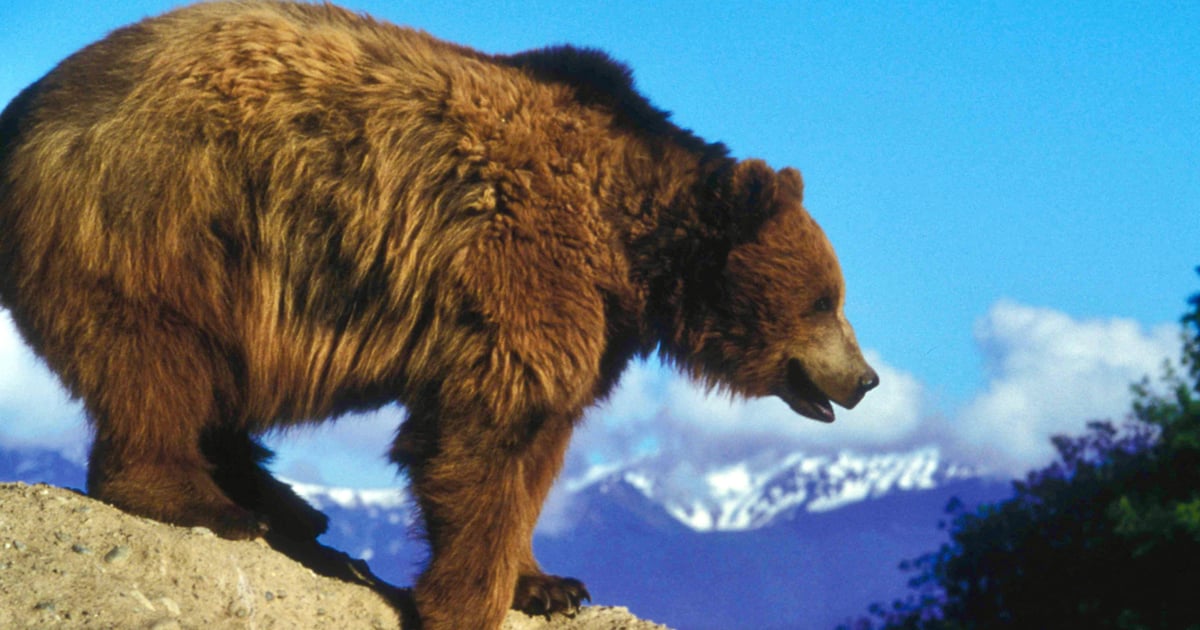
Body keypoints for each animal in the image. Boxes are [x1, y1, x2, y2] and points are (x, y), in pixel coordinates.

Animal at [0, 2, 879, 628]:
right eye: (826, 301)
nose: (866, 378)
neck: (632, 250)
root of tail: (26, 110)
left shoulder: (591, 323)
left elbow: (540, 448)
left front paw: (547, 582)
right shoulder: (523, 264)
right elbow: (483, 434)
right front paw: (466, 601)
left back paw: (287, 505)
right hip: (163, 216)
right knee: (158, 357)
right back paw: (206, 501)